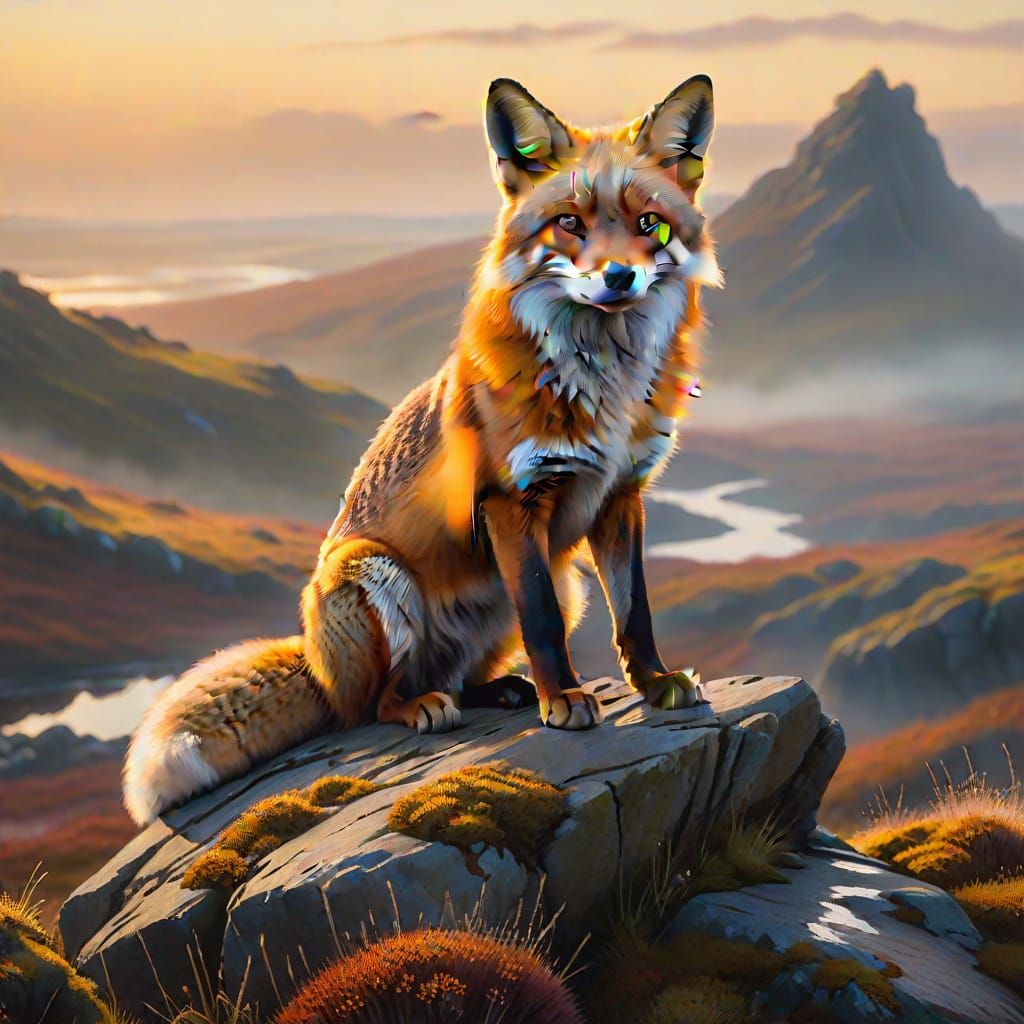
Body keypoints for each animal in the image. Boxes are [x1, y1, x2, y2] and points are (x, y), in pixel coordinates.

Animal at [123, 74, 722, 826]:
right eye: (570, 224)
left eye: (650, 225)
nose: (619, 278)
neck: (602, 380)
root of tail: (318, 665)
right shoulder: (510, 502)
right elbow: (543, 623)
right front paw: (563, 699)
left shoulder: (621, 496)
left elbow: (633, 611)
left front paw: (654, 681)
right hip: (375, 575)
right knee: (374, 706)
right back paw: (425, 707)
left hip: (557, 585)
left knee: (468, 673)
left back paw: (499, 690)